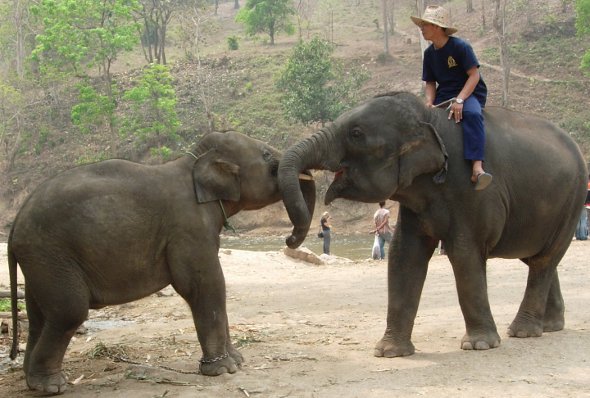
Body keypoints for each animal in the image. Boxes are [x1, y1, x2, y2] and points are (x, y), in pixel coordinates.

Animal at [6, 131, 316, 394]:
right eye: (266, 155)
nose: (290, 239)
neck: (194, 163)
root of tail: (14, 225)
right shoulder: (189, 227)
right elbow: (205, 284)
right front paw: (223, 370)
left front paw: (237, 362)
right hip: (51, 254)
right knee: (69, 312)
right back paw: (51, 387)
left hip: (41, 261)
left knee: (39, 315)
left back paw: (32, 381)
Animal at [278, 91, 590, 360]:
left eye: (356, 134)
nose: (290, 240)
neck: (431, 118)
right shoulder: (414, 201)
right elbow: (403, 255)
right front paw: (389, 352)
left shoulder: (471, 191)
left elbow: (464, 254)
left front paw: (479, 345)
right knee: (538, 258)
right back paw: (549, 326)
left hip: (574, 200)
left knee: (544, 259)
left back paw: (523, 331)